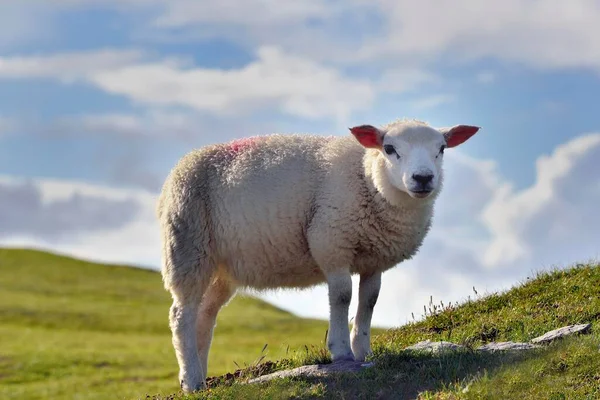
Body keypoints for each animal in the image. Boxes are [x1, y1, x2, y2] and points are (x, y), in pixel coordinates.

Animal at [157, 118, 480, 390]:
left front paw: (363, 350)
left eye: (441, 149)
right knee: (181, 315)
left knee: (204, 316)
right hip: (187, 247)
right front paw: (341, 351)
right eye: (389, 148)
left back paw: (199, 378)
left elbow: (369, 300)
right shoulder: (332, 243)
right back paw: (191, 379)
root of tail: (178, 167)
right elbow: (342, 296)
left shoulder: (374, 258)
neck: (366, 177)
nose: (423, 178)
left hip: (220, 269)